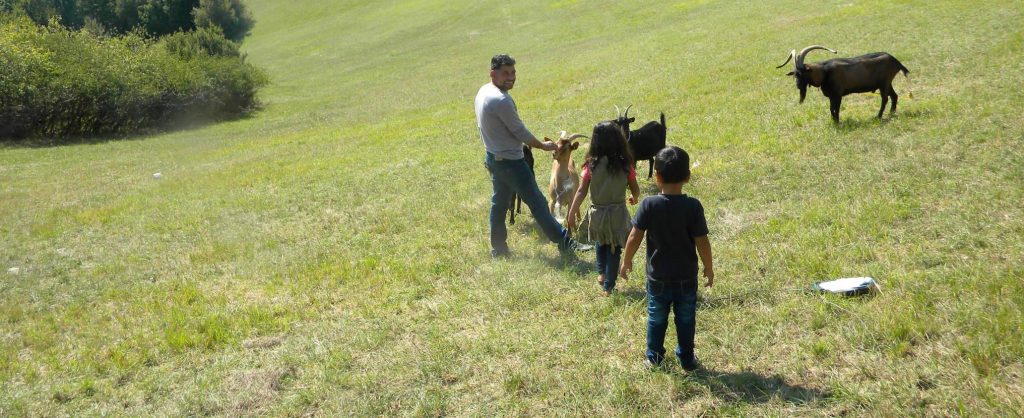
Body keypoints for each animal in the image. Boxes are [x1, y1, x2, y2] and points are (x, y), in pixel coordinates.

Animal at [774, 46, 913, 123]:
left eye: (802, 73)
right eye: (794, 74)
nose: (798, 85)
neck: (825, 71)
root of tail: (896, 61)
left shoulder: (838, 95)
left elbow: (836, 108)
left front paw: (837, 122)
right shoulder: (831, 96)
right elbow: (831, 108)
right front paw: (833, 121)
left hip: (884, 83)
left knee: (885, 98)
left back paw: (878, 116)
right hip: (887, 83)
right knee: (894, 96)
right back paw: (891, 114)